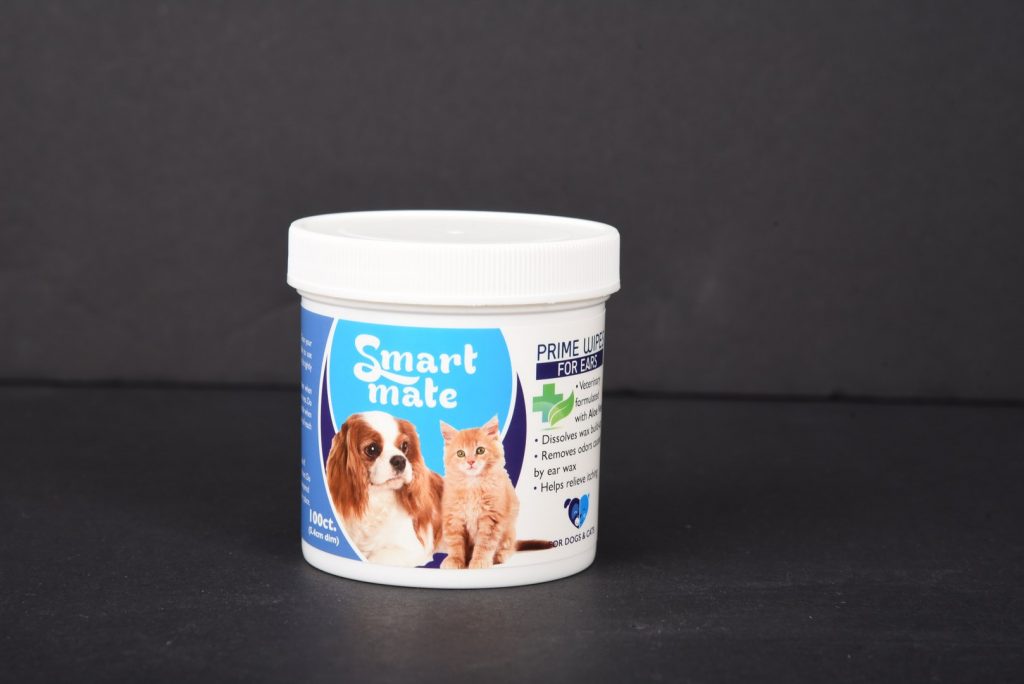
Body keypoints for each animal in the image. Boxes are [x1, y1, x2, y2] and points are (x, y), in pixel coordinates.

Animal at [325, 411, 443, 567]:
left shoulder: (412, 549)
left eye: (404, 446)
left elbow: (374, 558)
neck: (376, 499)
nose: (400, 460)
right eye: (372, 449)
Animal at [438, 417, 552, 569]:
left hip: (509, 532)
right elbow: (455, 543)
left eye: (480, 450)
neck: (473, 485)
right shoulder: (454, 516)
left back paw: (499, 557)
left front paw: (479, 561)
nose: (470, 462)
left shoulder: (491, 518)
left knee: (509, 549)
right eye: (460, 453)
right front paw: (455, 560)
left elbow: (484, 544)